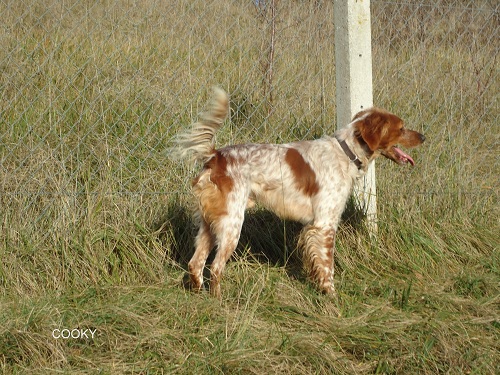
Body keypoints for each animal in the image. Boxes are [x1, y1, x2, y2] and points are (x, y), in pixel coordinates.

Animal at [174, 87, 424, 296]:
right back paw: (219, 300)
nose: (423, 136)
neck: (346, 152)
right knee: (215, 268)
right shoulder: (325, 224)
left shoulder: (313, 226)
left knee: (195, 264)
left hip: (209, 224)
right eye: (401, 128)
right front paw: (331, 298)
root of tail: (216, 156)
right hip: (232, 225)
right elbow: (328, 266)